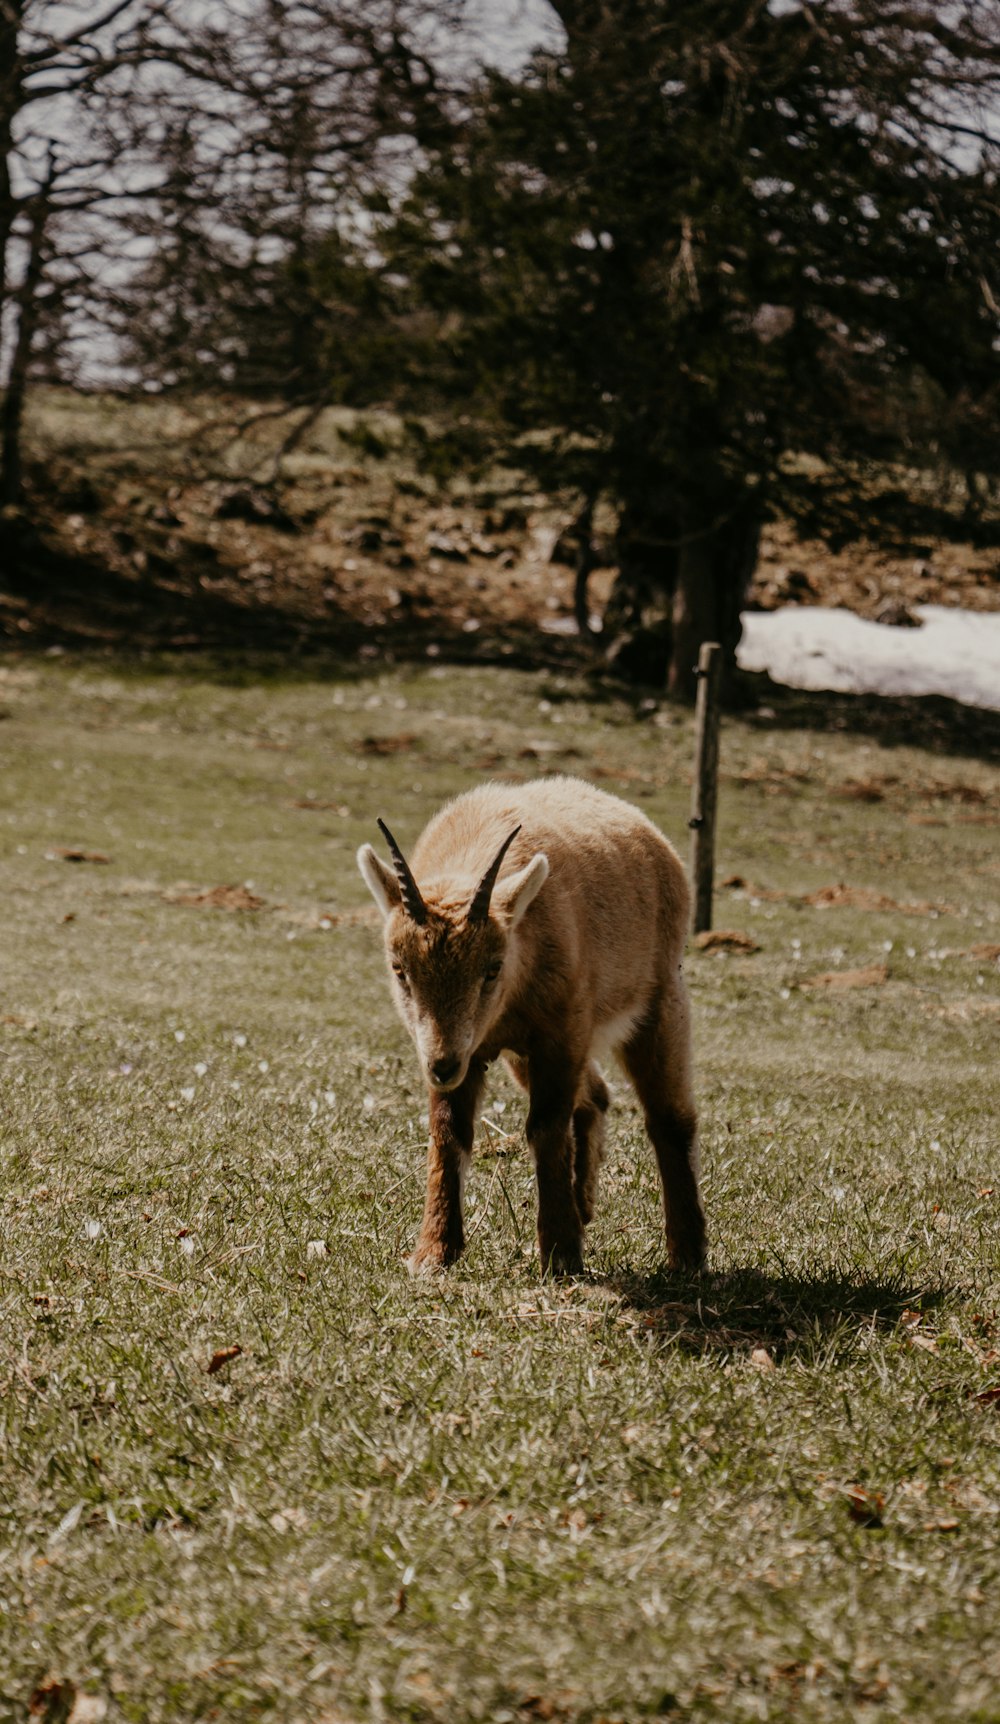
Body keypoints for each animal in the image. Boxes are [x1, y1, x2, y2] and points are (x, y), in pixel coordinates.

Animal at [356, 775, 703, 1275]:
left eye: (492, 968)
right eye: (399, 968)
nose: (442, 1066)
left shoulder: (561, 1035)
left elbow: (546, 1126)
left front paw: (560, 1254)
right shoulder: (472, 1048)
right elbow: (448, 1131)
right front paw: (434, 1251)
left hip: (659, 1002)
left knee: (668, 1119)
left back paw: (688, 1256)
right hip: (518, 1056)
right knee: (596, 1096)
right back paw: (584, 1205)